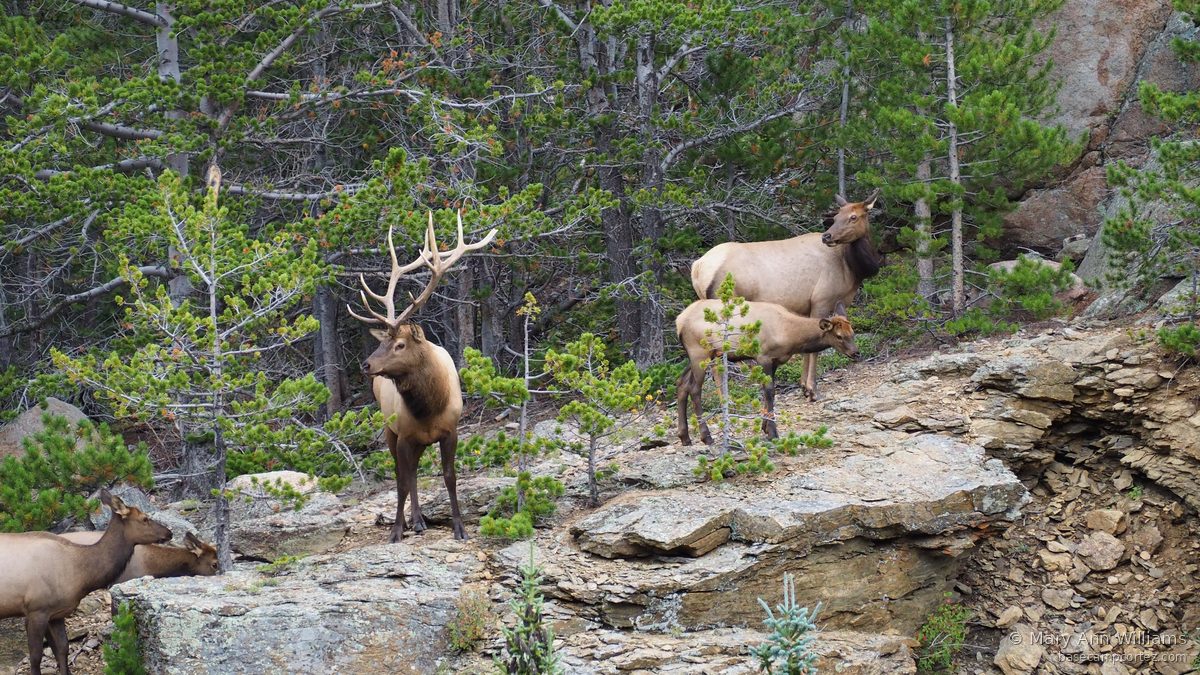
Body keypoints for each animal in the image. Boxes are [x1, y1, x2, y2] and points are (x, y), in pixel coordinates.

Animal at [0, 489, 172, 675]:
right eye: (145, 519)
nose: (169, 533)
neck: (81, 575)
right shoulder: (36, 610)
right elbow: (36, 656)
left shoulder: (56, 613)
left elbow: (62, 648)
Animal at [349, 211, 496, 543]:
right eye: (383, 341)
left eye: (400, 344)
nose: (366, 365)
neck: (429, 408)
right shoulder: (404, 434)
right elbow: (403, 481)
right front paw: (395, 531)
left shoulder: (451, 430)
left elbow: (449, 477)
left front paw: (459, 528)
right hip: (390, 430)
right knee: (404, 473)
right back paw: (412, 521)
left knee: (414, 470)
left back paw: (418, 520)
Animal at [675, 300, 859, 446]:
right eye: (839, 336)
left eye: (852, 332)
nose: (856, 353)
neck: (790, 336)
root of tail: (679, 321)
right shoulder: (763, 357)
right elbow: (769, 391)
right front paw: (772, 432)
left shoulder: (775, 361)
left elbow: (768, 391)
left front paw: (764, 427)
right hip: (700, 353)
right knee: (694, 389)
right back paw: (706, 437)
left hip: (699, 356)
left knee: (682, 383)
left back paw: (685, 437)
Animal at [690, 190, 881, 402]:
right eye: (836, 216)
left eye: (853, 216)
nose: (827, 236)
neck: (852, 267)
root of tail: (697, 269)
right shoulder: (822, 300)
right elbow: (816, 349)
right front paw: (812, 389)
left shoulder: (809, 307)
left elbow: (807, 347)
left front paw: (803, 386)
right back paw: (725, 400)